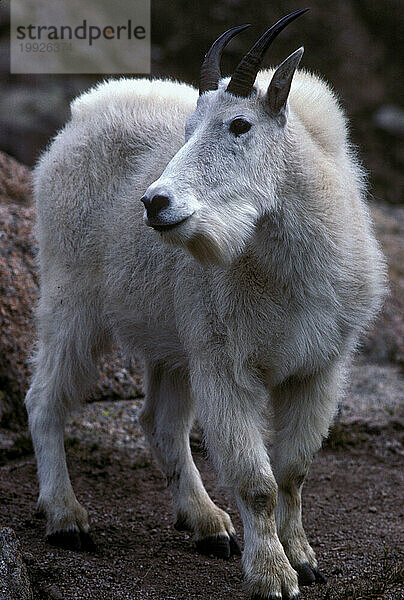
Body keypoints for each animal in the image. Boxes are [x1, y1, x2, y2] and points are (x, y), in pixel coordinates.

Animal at [24, 10, 386, 600]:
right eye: (189, 127)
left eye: (240, 125)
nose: (155, 202)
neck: (285, 261)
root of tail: (78, 116)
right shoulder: (226, 365)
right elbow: (258, 481)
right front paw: (273, 577)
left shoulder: (320, 367)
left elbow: (294, 471)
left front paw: (304, 560)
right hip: (70, 299)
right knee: (45, 400)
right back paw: (66, 517)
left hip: (172, 338)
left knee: (160, 421)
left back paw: (207, 523)